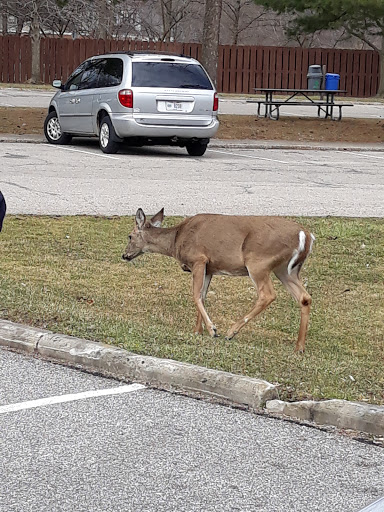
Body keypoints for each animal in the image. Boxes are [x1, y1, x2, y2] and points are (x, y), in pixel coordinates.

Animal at [123, 208, 316, 352]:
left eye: (130, 236)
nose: (124, 255)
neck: (176, 240)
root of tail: (305, 235)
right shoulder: (210, 268)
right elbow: (203, 296)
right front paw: (197, 331)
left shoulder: (199, 259)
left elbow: (196, 295)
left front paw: (212, 330)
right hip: (285, 270)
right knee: (305, 297)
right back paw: (299, 347)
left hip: (258, 262)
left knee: (267, 294)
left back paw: (231, 332)